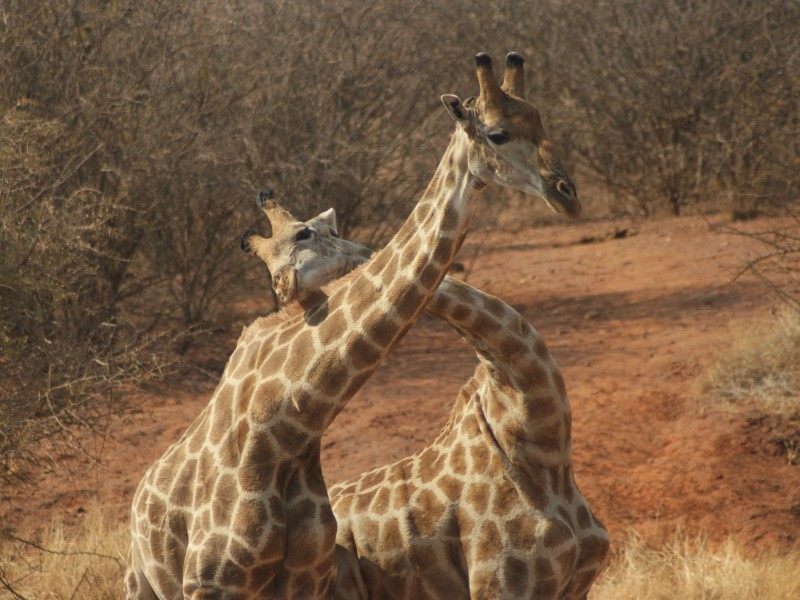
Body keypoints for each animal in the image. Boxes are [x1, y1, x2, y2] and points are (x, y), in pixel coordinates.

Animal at [125, 52, 580, 600]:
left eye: (540, 119)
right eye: (497, 133)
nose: (567, 194)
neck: (281, 432)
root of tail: (139, 497)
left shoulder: (305, 581)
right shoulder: (211, 584)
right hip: (143, 582)